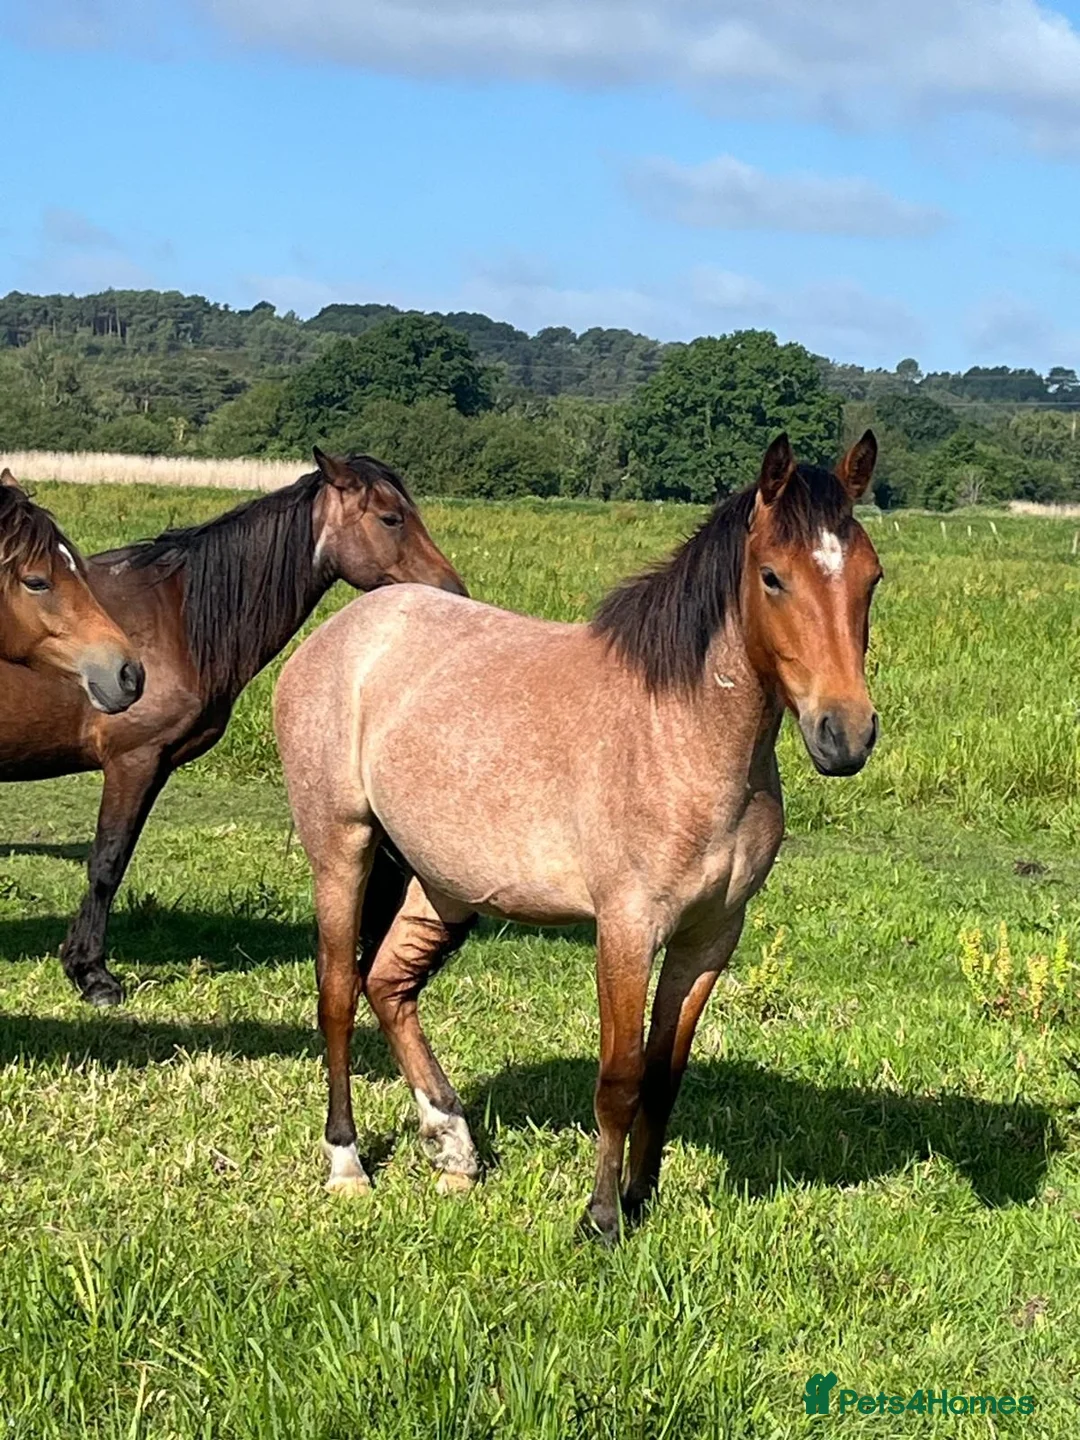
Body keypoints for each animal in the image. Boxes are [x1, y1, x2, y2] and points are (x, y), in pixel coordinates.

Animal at [274, 431, 883, 1241]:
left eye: (872, 578)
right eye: (773, 577)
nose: (845, 734)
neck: (677, 737)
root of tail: (341, 636)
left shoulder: (709, 937)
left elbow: (664, 1076)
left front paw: (641, 1197)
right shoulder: (626, 929)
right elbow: (620, 1078)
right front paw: (601, 1219)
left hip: (444, 883)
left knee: (389, 985)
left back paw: (454, 1146)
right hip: (342, 849)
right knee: (339, 991)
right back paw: (347, 1164)